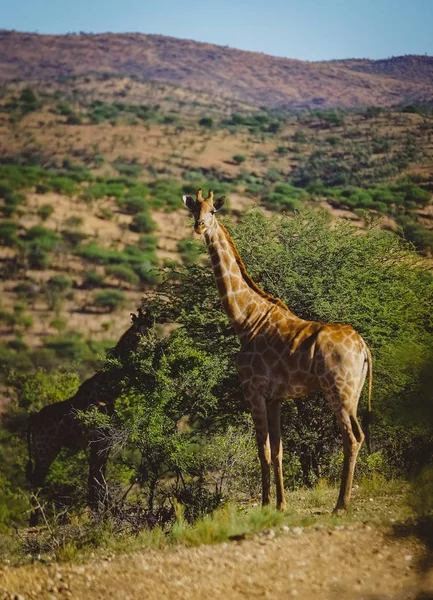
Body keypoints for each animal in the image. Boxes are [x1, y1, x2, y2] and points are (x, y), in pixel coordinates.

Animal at [26, 308, 153, 524]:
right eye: (137, 332)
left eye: (150, 332)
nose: (147, 347)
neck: (108, 392)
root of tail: (33, 421)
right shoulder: (100, 439)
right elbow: (97, 478)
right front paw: (104, 512)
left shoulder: (103, 441)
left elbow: (96, 476)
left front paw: (103, 510)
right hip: (47, 449)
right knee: (36, 482)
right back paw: (36, 521)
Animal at [182, 190, 372, 512]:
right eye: (194, 209)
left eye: (213, 211)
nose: (199, 226)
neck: (246, 319)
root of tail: (363, 347)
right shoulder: (276, 398)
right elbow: (279, 449)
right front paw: (281, 504)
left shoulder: (253, 390)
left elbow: (263, 451)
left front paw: (264, 504)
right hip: (354, 392)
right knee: (356, 435)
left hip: (339, 389)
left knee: (353, 437)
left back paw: (340, 504)